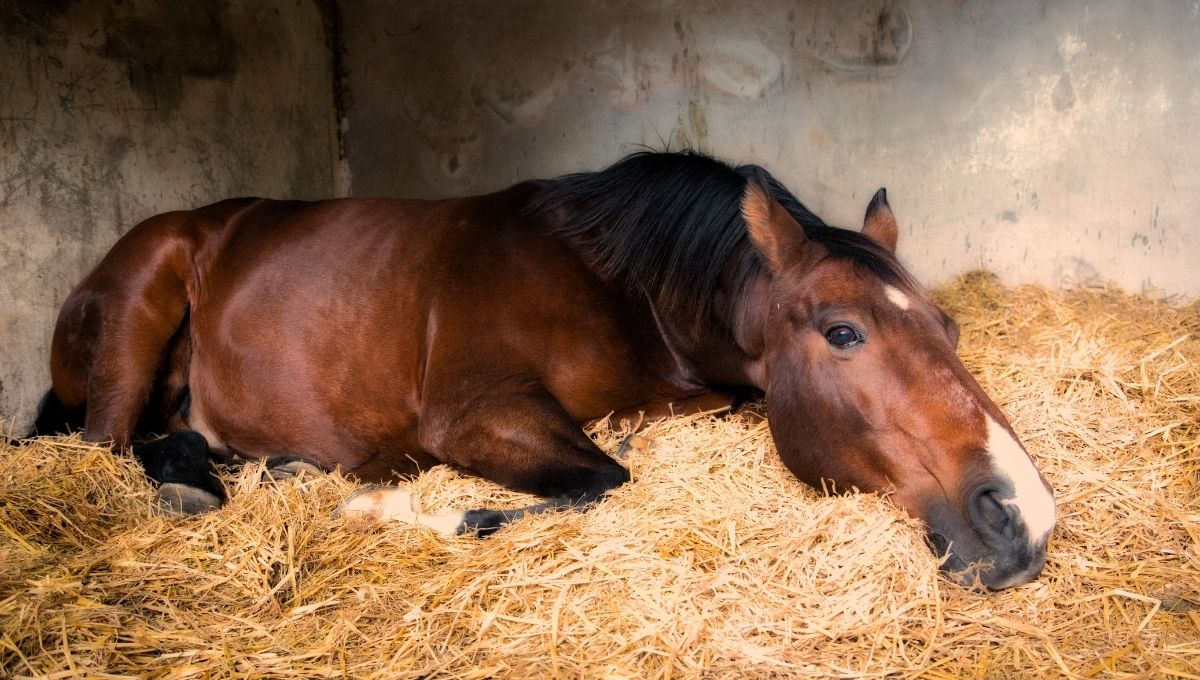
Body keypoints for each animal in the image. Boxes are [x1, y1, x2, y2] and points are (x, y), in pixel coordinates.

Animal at [29, 151, 1055, 589]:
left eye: (948, 327)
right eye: (843, 333)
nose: (1026, 518)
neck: (615, 282)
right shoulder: (477, 413)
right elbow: (601, 481)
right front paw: (388, 508)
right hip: (137, 319)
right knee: (107, 446)